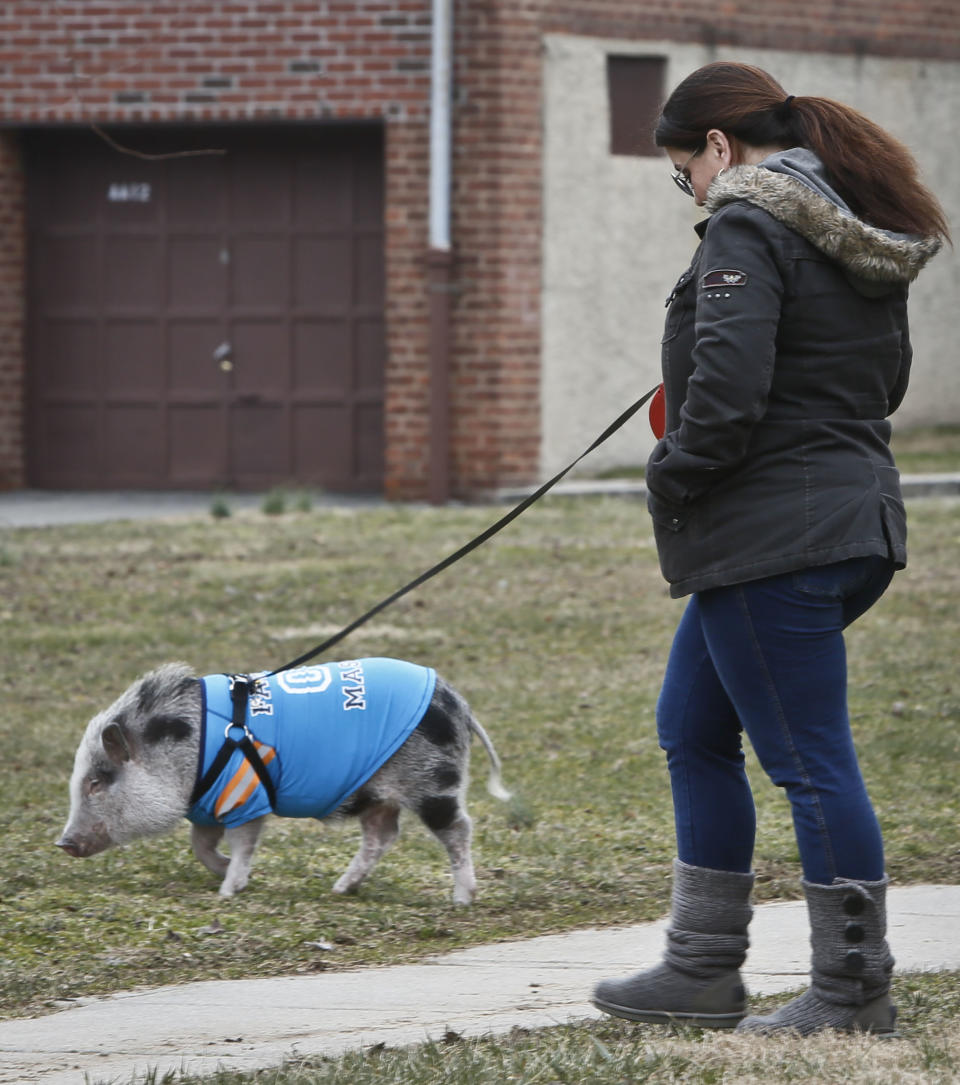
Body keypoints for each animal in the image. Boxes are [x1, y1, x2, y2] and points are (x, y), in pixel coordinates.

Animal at [58, 655, 509, 902]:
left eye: (97, 781)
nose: (62, 842)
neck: (192, 750)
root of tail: (457, 703)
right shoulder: (209, 805)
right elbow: (200, 845)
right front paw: (227, 874)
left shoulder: (244, 798)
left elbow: (242, 843)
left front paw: (228, 890)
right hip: (377, 793)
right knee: (382, 835)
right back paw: (339, 889)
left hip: (433, 781)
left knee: (458, 828)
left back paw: (462, 900)